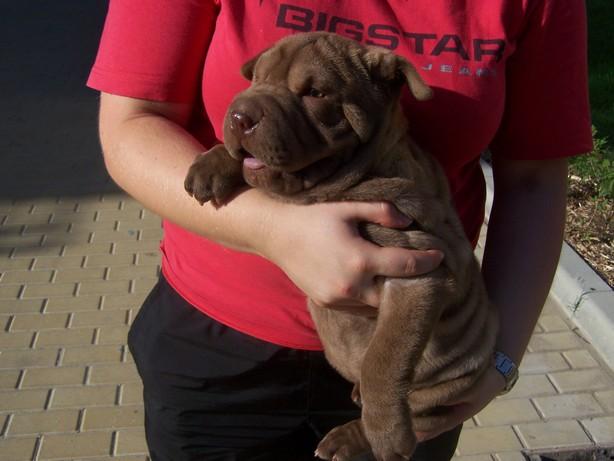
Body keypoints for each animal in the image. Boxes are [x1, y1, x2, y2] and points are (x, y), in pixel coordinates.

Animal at [184, 32, 500, 460]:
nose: (239, 116)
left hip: (448, 389)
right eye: (257, 79)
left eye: (315, 93)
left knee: (415, 409)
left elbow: (383, 360)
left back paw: (352, 437)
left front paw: (386, 433)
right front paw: (211, 163)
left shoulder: (417, 272)